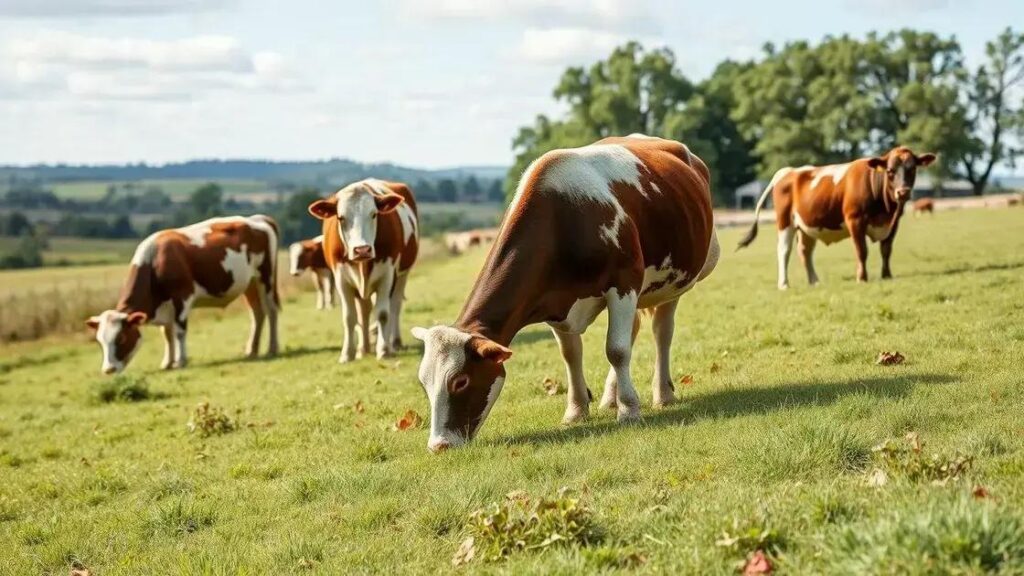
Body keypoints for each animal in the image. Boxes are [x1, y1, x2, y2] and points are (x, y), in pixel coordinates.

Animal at [86, 214, 280, 373]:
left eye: (121, 338)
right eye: (100, 341)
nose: (108, 369)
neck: (155, 261)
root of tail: (258, 218)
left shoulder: (182, 297)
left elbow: (179, 332)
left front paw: (181, 361)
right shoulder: (166, 306)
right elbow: (166, 333)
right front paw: (167, 362)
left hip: (266, 278)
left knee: (271, 311)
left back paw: (272, 348)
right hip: (250, 284)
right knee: (257, 313)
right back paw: (252, 350)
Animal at [305, 177, 417, 360]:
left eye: (374, 214)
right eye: (341, 217)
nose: (362, 250)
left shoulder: (387, 275)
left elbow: (383, 314)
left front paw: (383, 350)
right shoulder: (341, 278)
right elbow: (350, 317)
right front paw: (348, 353)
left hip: (402, 275)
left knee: (394, 306)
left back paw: (394, 342)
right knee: (364, 311)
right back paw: (363, 348)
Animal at [409, 135, 720, 453]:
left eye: (460, 381)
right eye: (424, 382)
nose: (438, 445)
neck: (564, 218)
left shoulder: (624, 284)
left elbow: (616, 350)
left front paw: (629, 409)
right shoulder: (553, 301)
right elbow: (571, 354)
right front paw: (577, 410)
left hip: (674, 281)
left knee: (662, 332)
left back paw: (662, 393)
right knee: (634, 329)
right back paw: (611, 397)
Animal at [737, 144, 937, 284]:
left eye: (912, 168)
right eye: (890, 171)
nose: (903, 192)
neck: (885, 210)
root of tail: (789, 171)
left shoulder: (894, 222)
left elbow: (886, 250)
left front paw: (886, 275)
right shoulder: (855, 220)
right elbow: (862, 251)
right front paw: (862, 278)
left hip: (807, 226)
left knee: (805, 251)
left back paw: (814, 281)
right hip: (785, 222)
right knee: (784, 251)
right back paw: (784, 283)